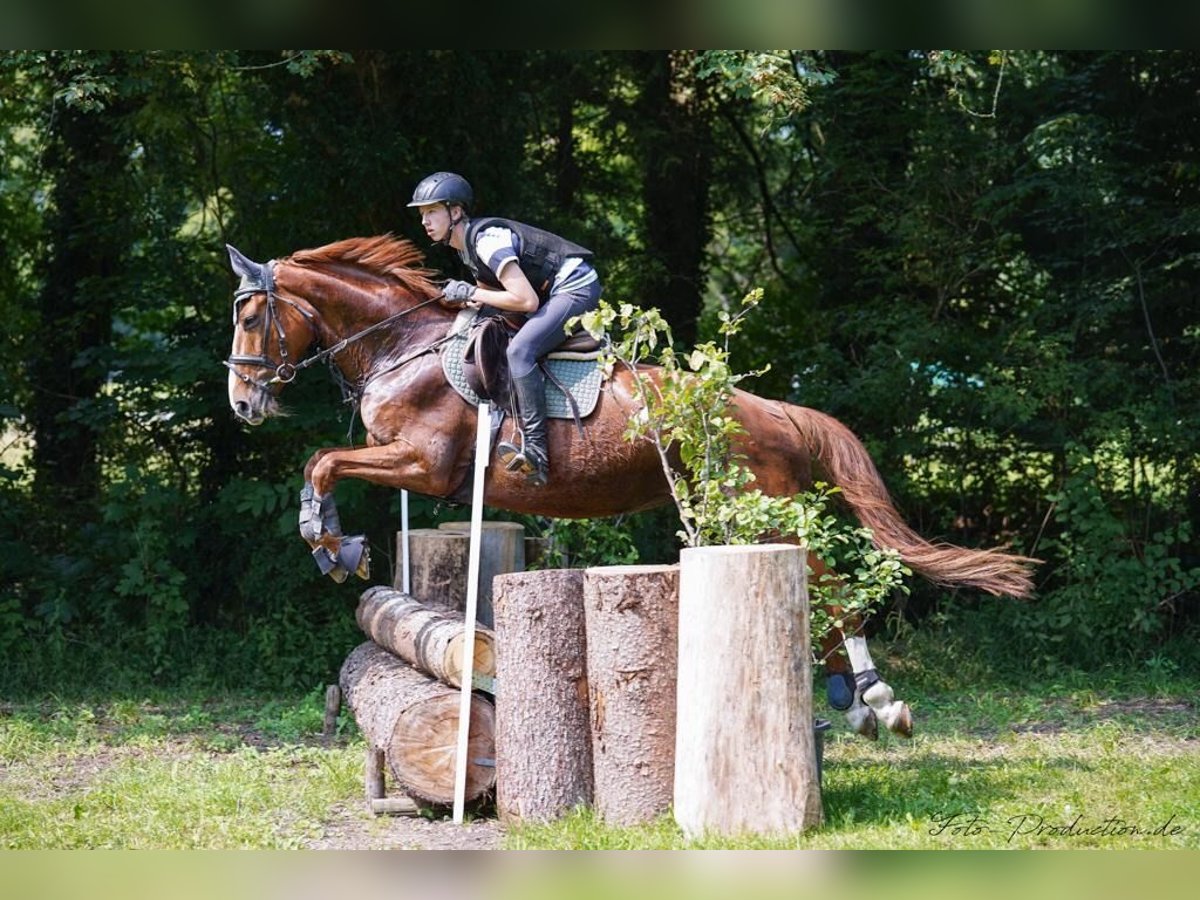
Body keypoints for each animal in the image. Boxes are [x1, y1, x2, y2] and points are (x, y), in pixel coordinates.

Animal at [226, 236, 1041, 744]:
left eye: (250, 315)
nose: (241, 404)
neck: (401, 345)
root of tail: (774, 409)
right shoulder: (407, 464)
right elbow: (321, 461)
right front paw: (339, 545)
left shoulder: (422, 464)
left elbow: (322, 462)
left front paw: (332, 544)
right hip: (735, 511)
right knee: (820, 586)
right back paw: (851, 700)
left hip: (760, 510)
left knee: (832, 586)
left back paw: (876, 700)